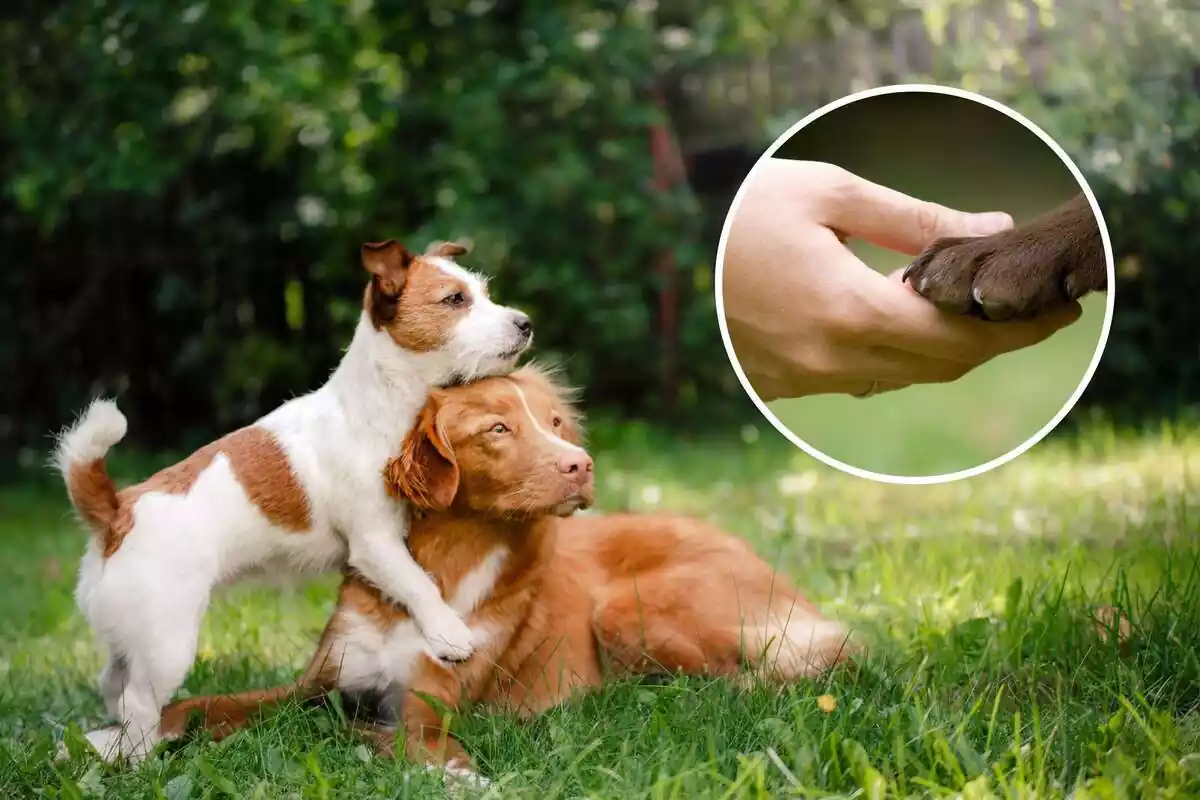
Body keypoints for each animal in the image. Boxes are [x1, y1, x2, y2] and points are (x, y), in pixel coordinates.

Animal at [51, 239, 530, 762]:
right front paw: (449, 633)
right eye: (454, 300)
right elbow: (417, 583)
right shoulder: (375, 541)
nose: (525, 322)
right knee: (138, 703)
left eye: (484, 293)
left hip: (131, 637)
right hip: (167, 643)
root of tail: (117, 514)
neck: (377, 404)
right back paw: (140, 762)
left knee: (114, 683)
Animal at [142, 367, 854, 786]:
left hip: (628, 610)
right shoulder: (316, 682)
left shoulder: (425, 711)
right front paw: (136, 737)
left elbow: (365, 732)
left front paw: (462, 774)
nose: (581, 465)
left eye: (557, 422)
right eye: (498, 429)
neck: (443, 567)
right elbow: (211, 704)